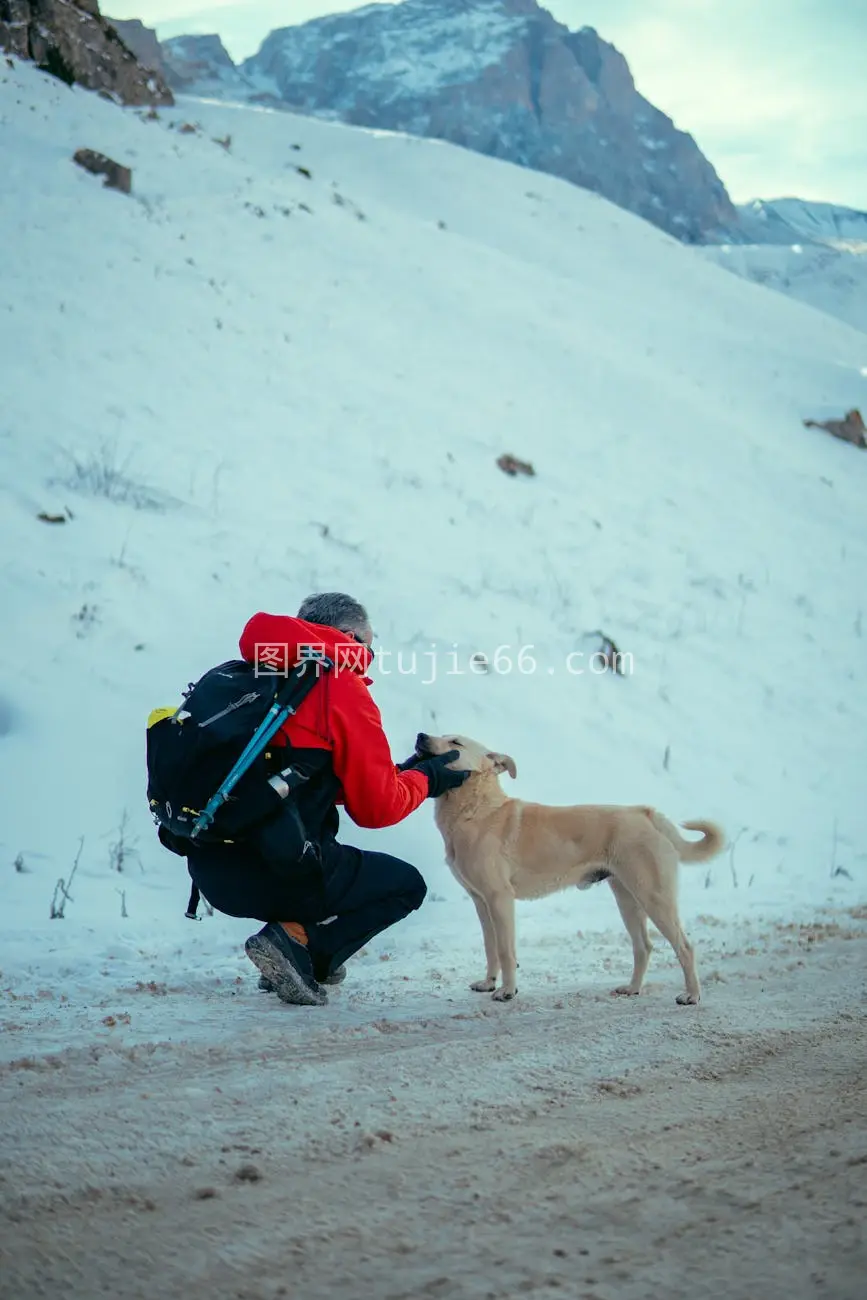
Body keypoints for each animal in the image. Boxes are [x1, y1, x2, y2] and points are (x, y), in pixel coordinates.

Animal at [421, 733, 727, 1003]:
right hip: (627, 899)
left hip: (655, 898)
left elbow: (506, 951)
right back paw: (632, 989)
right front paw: (488, 984)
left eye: (455, 742)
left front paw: (507, 992)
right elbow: (490, 947)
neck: (476, 811)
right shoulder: (480, 902)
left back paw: (692, 995)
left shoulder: (500, 899)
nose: (420, 736)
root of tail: (645, 813)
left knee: (685, 947)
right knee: (643, 946)